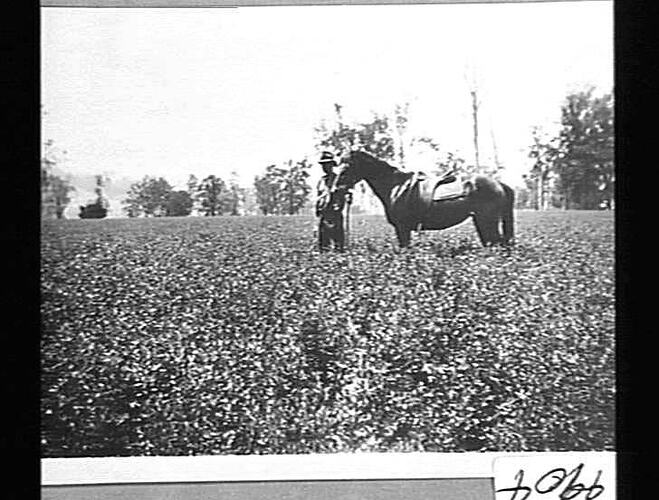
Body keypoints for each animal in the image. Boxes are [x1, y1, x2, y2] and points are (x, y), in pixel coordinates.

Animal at [336, 150, 516, 248]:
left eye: (347, 165)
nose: (337, 186)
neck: (396, 186)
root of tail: (499, 184)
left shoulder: (402, 228)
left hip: (487, 221)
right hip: (481, 221)